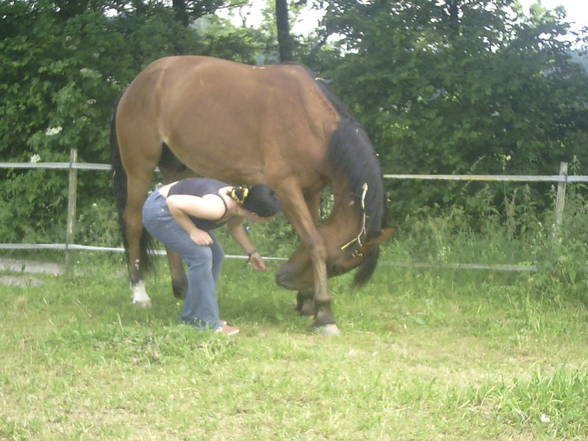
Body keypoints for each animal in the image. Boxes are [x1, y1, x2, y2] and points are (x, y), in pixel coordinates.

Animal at [112, 56, 392, 336]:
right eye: (336, 266)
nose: (283, 279)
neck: (310, 121)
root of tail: (138, 82)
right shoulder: (285, 188)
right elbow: (315, 243)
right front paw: (324, 314)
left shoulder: (311, 191)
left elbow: (312, 238)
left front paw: (308, 302)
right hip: (139, 166)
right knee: (133, 222)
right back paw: (139, 293)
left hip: (177, 169)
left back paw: (182, 287)